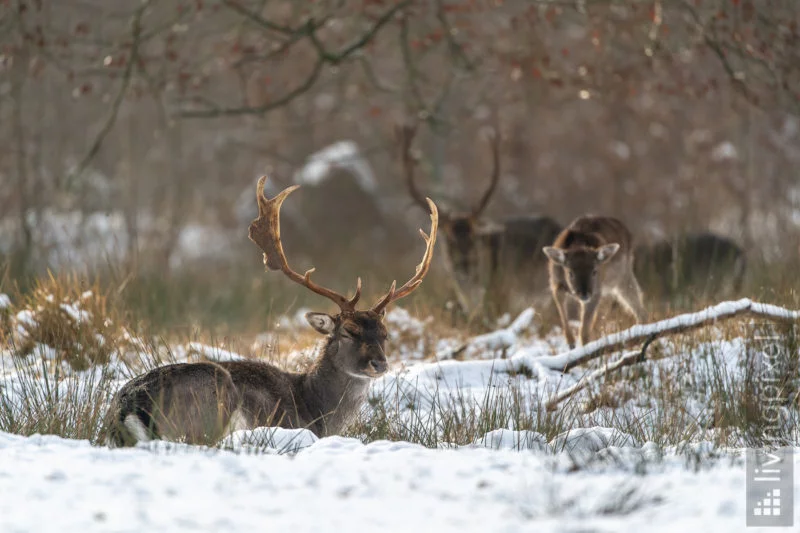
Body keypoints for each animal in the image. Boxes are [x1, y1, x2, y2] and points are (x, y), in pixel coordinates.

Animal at [102, 175, 438, 447]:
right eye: (349, 331)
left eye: (385, 334)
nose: (379, 364)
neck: (315, 408)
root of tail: (128, 406)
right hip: (210, 405)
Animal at [542, 215, 647, 349]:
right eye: (570, 272)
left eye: (594, 271)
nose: (584, 293)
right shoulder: (554, 282)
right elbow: (561, 304)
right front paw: (571, 342)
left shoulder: (596, 290)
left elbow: (584, 330)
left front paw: (585, 349)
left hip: (624, 275)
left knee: (638, 305)